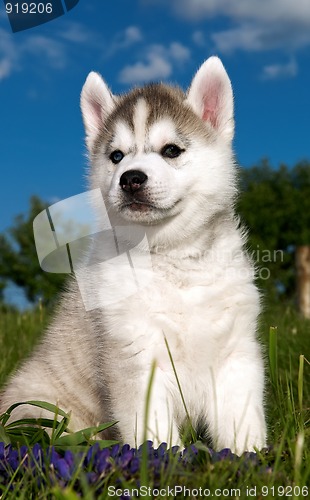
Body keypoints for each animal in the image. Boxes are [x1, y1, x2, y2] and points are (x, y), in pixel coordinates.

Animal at [0, 56, 266, 456]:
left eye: (171, 150)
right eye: (116, 156)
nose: (131, 179)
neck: (171, 257)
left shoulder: (235, 353)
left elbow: (243, 422)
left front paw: (251, 460)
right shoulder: (137, 358)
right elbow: (154, 432)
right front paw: (165, 463)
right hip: (35, 411)